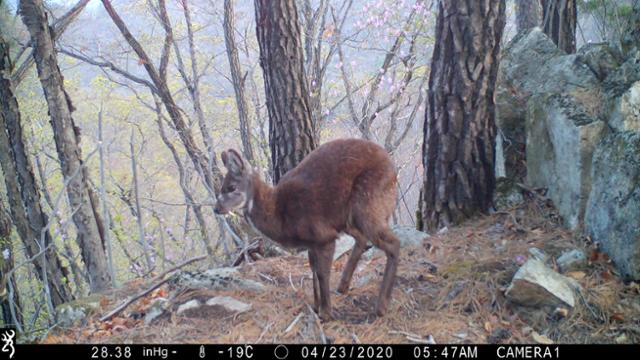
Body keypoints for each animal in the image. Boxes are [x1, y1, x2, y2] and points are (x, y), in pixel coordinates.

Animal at [215, 138, 400, 320]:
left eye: (231, 187)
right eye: (221, 187)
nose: (216, 209)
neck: (280, 215)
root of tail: (393, 168)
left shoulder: (324, 236)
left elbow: (322, 273)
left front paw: (326, 313)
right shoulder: (312, 242)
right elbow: (313, 270)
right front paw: (316, 306)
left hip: (367, 203)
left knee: (393, 244)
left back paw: (381, 307)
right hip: (348, 218)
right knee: (362, 239)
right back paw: (343, 286)